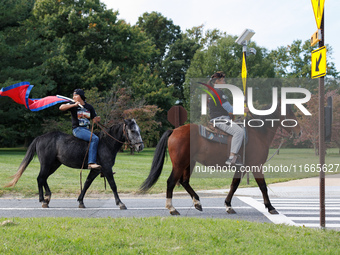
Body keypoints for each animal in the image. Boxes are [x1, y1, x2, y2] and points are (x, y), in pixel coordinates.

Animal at [5, 118, 143, 208]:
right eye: (132, 130)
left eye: (138, 130)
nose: (140, 146)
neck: (106, 143)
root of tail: (40, 138)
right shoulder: (107, 168)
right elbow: (113, 185)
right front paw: (120, 203)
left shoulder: (96, 170)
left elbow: (87, 184)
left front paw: (81, 201)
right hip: (46, 164)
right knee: (40, 178)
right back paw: (43, 200)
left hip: (54, 165)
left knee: (43, 178)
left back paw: (47, 197)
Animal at [141, 104, 302, 214]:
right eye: (289, 113)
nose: (299, 132)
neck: (258, 132)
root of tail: (174, 130)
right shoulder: (257, 166)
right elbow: (263, 187)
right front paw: (270, 207)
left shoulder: (242, 167)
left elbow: (234, 185)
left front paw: (228, 205)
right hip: (180, 164)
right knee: (171, 182)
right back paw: (172, 208)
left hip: (189, 163)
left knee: (184, 181)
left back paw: (197, 202)